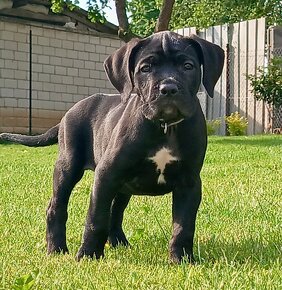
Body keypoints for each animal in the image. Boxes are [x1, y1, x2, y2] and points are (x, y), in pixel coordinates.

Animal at [0, 31, 225, 262]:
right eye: (146, 68)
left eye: (188, 66)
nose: (168, 89)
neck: (164, 127)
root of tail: (67, 114)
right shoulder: (106, 174)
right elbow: (96, 218)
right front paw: (88, 256)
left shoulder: (189, 182)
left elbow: (183, 225)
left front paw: (181, 259)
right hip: (67, 167)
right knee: (57, 207)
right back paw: (56, 249)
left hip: (123, 185)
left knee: (116, 212)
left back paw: (119, 242)